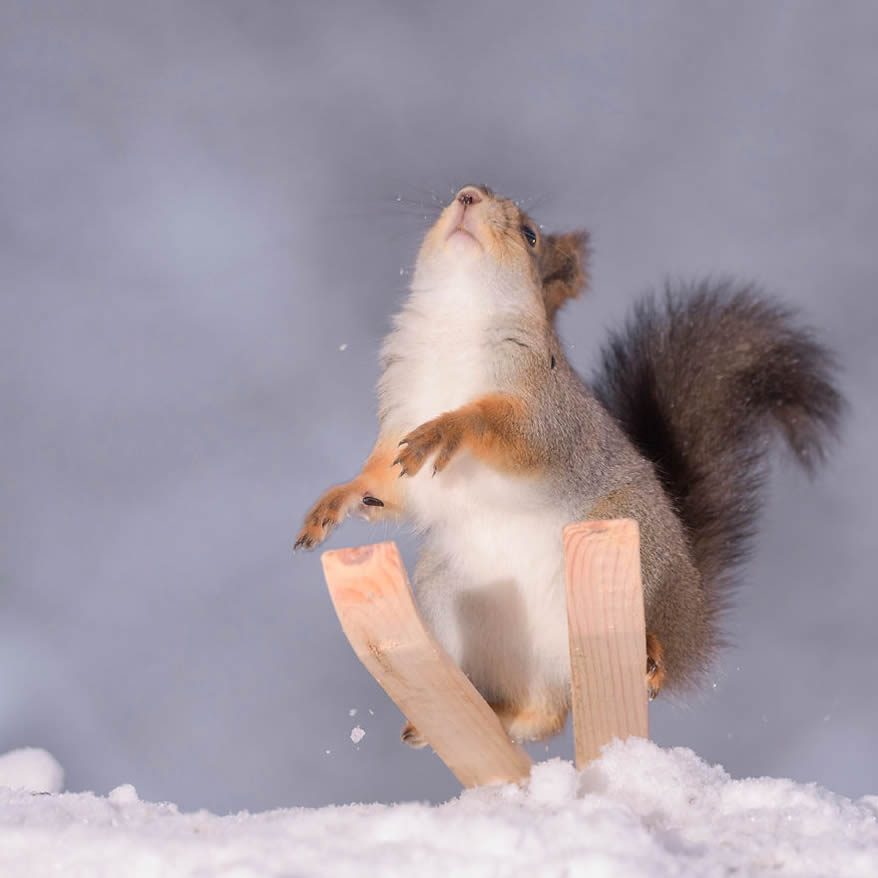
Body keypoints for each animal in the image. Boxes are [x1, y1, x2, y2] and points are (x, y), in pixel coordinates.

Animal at [296, 186, 844, 748]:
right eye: (458, 195)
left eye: (530, 234)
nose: (467, 196)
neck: (455, 321)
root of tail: (691, 617)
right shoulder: (399, 415)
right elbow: (384, 482)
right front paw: (337, 501)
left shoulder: (547, 408)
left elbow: (510, 430)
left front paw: (447, 428)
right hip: (457, 601)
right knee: (544, 716)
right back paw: (481, 718)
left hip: (636, 548)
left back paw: (653, 654)